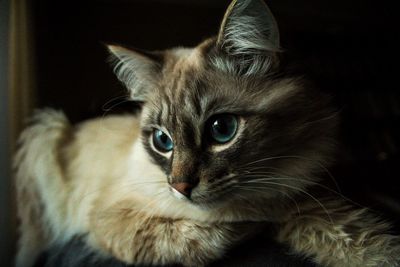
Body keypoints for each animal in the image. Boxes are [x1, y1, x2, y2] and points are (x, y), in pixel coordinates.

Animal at [14, 0, 400, 267]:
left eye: (221, 130)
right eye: (162, 141)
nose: (180, 187)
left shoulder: (314, 196)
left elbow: (357, 236)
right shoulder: (111, 222)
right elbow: (201, 238)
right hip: (47, 129)